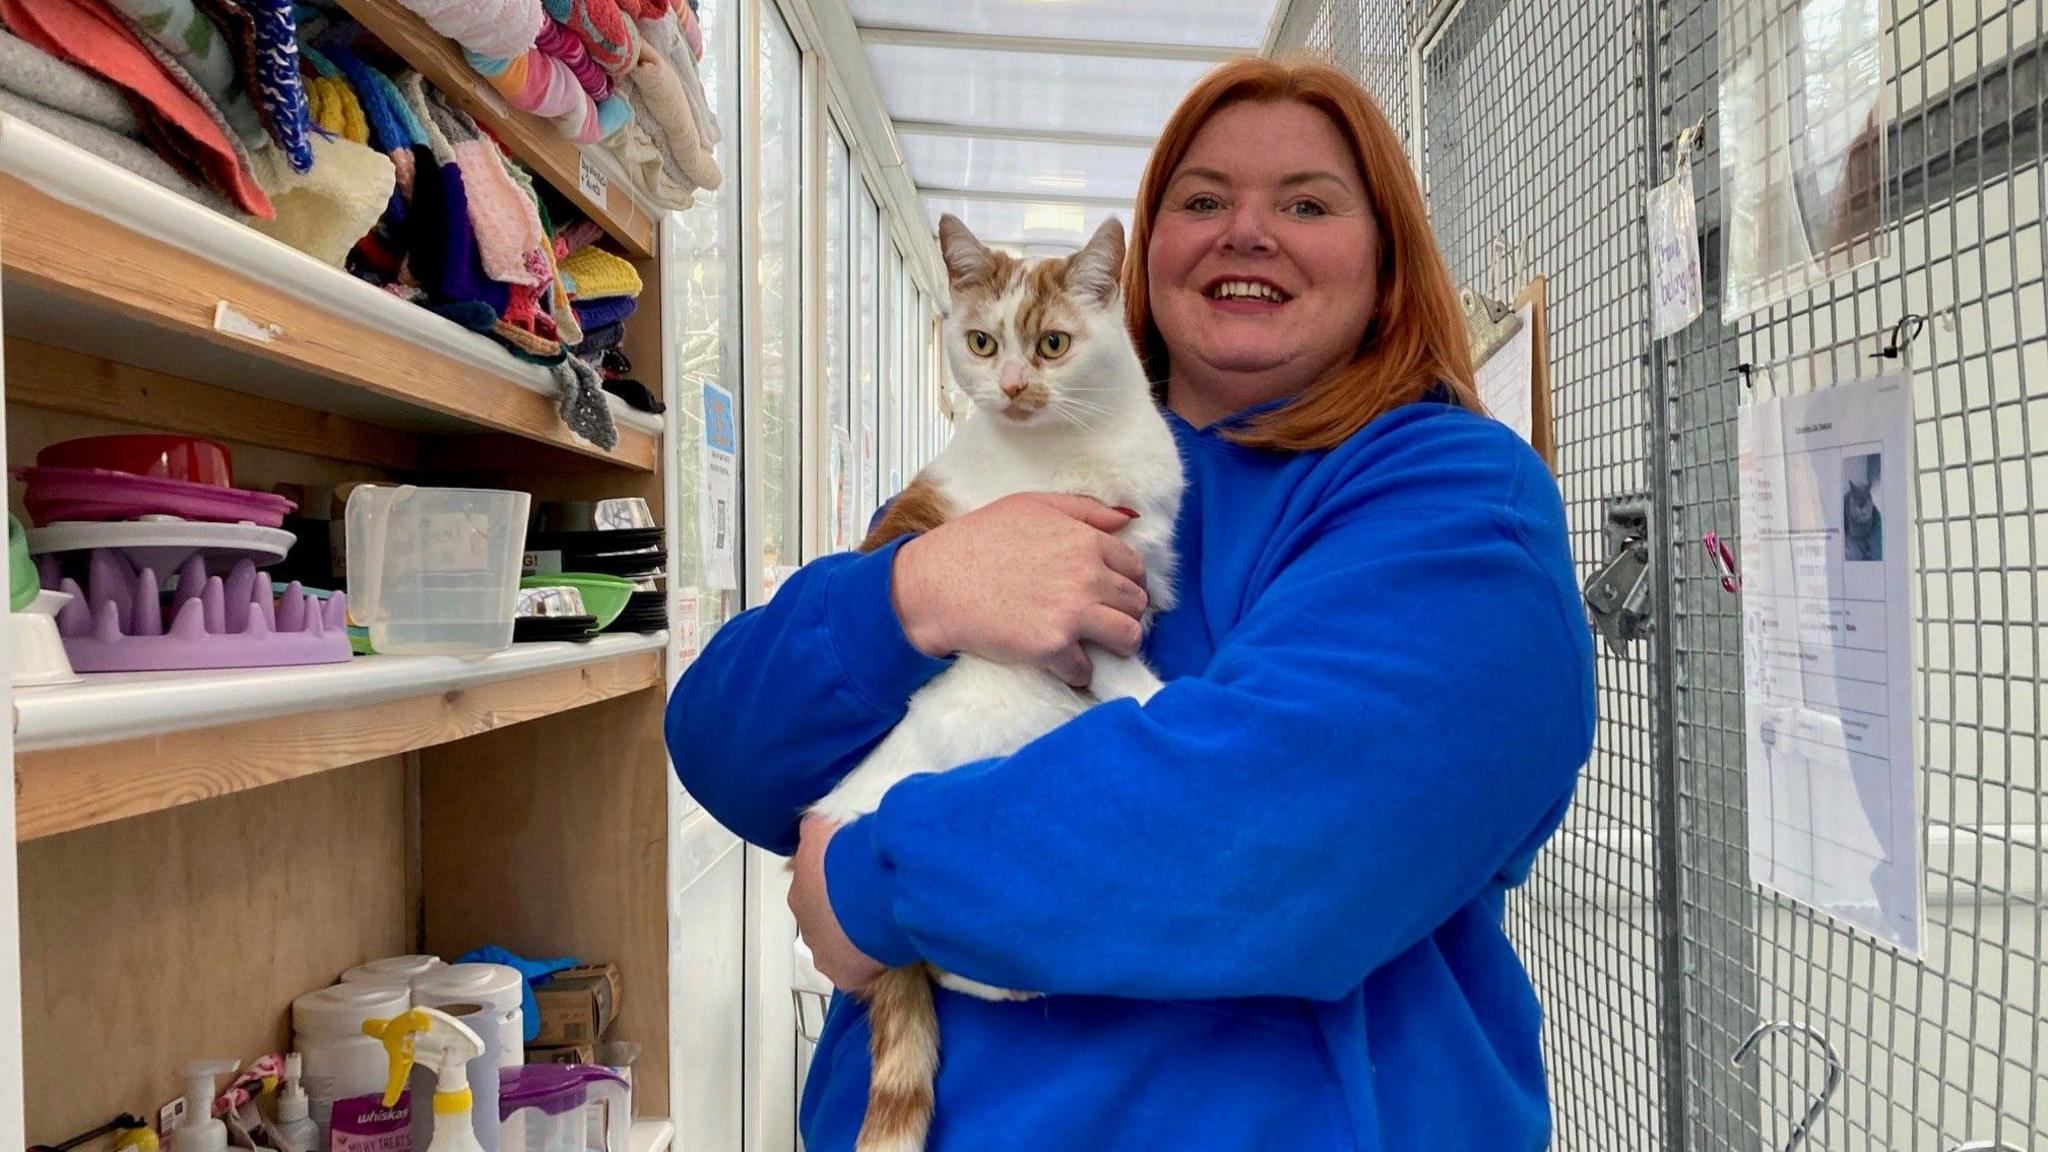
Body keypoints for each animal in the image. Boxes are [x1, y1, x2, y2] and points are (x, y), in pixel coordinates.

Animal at [798, 215, 1187, 1147]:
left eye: (1051, 345)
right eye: (981, 342)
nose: (1010, 385)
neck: (1079, 445)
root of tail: (835, 810)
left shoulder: (1140, 575)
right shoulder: (1088, 612)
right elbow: (1132, 680)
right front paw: (1170, 701)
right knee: (934, 951)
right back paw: (1012, 979)